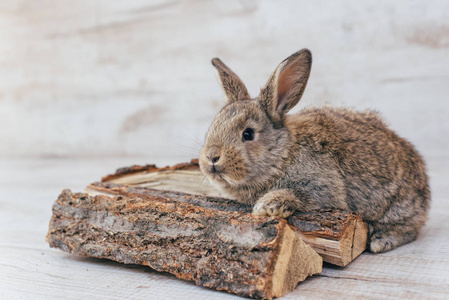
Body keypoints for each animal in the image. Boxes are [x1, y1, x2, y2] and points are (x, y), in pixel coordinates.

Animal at [200, 49, 430, 253]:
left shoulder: (321, 185)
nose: (211, 157)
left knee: (409, 229)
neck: (283, 155)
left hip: (397, 208)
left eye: (248, 134)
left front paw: (268, 206)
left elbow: (301, 194)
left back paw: (381, 240)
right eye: (214, 125)